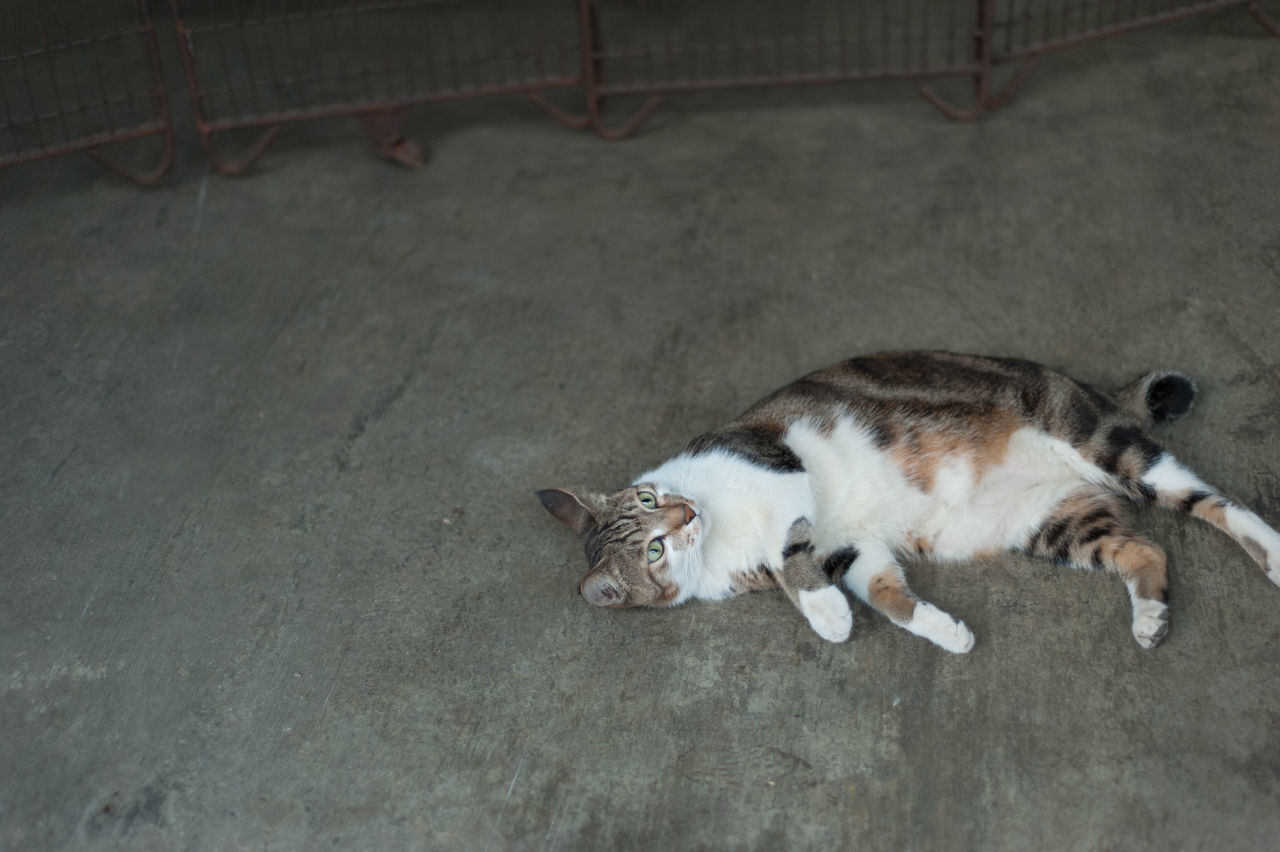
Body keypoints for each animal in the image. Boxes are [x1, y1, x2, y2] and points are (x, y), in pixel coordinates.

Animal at [540, 347, 1280, 647]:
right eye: (654, 550)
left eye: (648, 502)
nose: (685, 513)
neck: (721, 532)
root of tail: (1082, 385)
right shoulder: (846, 547)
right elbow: (884, 593)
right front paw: (941, 631)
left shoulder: (779, 468)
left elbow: (787, 556)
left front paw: (825, 616)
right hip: (1054, 523)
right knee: (1147, 549)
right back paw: (1149, 617)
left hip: (1101, 444)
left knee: (1216, 503)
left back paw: (1272, 551)